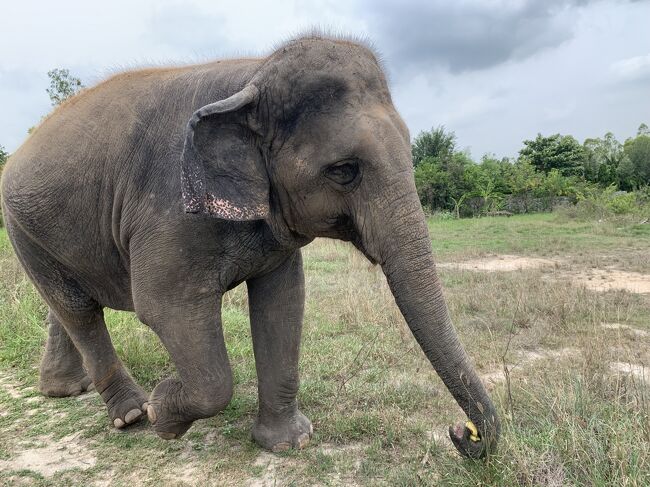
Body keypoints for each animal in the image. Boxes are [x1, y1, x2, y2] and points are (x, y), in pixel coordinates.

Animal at [0, 35, 498, 462]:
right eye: (343, 170)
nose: (462, 432)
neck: (252, 78)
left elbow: (283, 300)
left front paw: (289, 444)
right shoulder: (169, 210)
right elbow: (165, 309)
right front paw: (163, 413)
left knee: (66, 306)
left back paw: (65, 391)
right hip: (20, 225)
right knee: (78, 309)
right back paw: (132, 414)